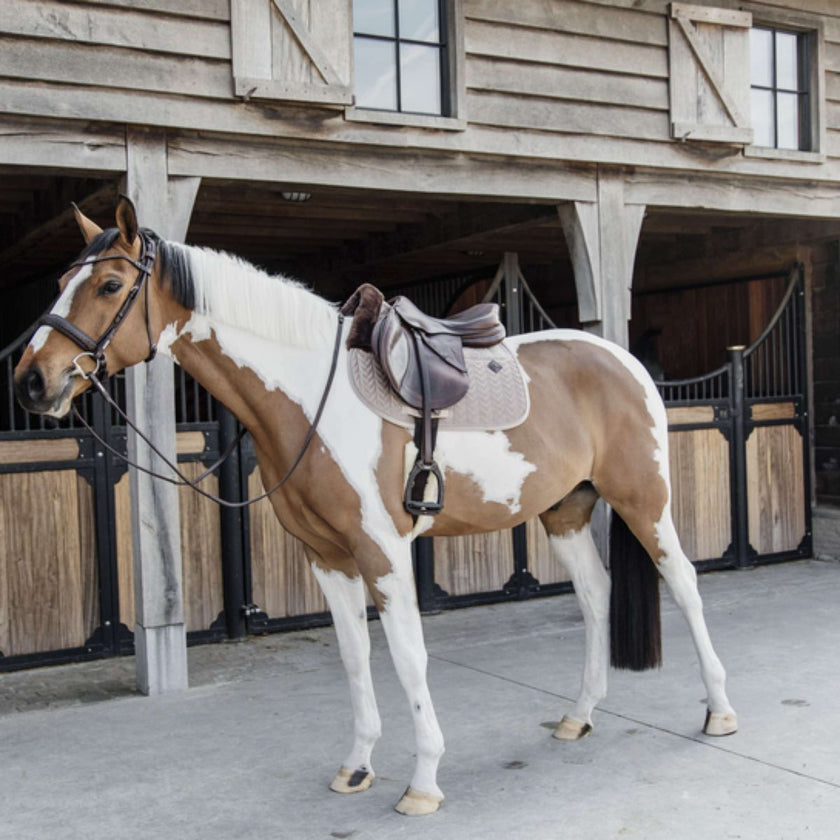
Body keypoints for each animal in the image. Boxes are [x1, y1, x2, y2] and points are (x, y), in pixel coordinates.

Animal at [11, 197, 736, 812]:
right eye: (60, 282)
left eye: (109, 286)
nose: (31, 382)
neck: (310, 393)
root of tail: (624, 360)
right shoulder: (327, 557)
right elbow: (355, 657)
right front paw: (356, 766)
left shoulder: (382, 552)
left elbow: (408, 658)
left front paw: (423, 783)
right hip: (565, 511)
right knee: (594, 595)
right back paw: (579, 715)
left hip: (644, 501)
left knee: (684, 583)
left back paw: (719, 710)